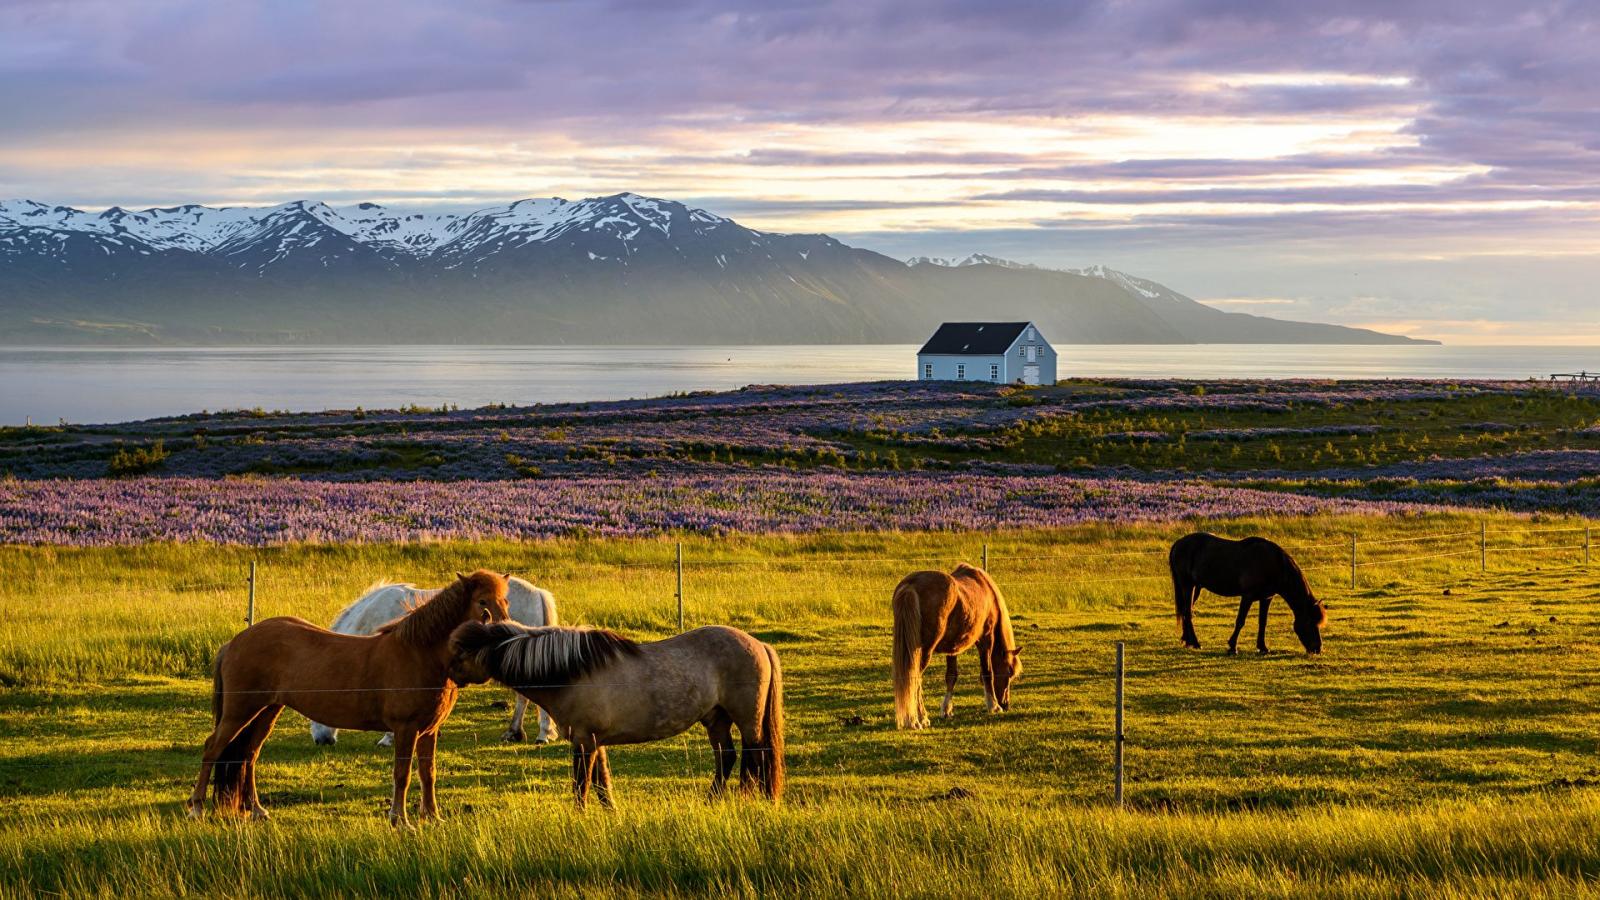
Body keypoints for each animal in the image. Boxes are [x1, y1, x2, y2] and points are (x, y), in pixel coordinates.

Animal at [187, 570, 510, 826]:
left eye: (505, 601)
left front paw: (432, 817)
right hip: (239, 712)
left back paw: (256, 810)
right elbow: (402, 774)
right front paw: (400, 820)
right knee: (213, 748)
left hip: (267, 711)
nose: (505, 633)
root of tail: (235, 642)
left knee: (249, 756)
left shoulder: (429, 730)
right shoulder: (405, 729)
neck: (419, 654)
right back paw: (197, 808)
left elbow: (427, 773)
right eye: (483, 602)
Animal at [448, 622, 785, 807]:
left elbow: (581, 785)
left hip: (747, 720)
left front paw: (580, 817)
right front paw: (612, 814)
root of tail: (758, 644)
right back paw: (712, 801)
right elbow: (601, 784)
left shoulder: (584, 742)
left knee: (757, 757)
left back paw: (758, 801)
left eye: (459, 654)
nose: (447, 676)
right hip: (716, 718)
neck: (571, 672)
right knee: (727, 757)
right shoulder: (594, 742)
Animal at [891, 563, 1021, 730]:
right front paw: (993, 706)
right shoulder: (986, 639)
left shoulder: (952, 649)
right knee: (915, 679)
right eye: (1009, 672)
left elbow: (951, 676)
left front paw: (946, 710)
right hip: (923, 652)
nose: (1005, 704)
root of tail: (910, 585)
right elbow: (987, 672)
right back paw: (918, 720)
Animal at [1169, 532, 1325, 655]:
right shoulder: (1247, 596)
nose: (1317, 649)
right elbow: (1240, 621)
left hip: (1196, 588)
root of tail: (1178, 543)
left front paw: (1263, 647)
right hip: (1187, 585)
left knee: (1186, 610)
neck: (1273, 564)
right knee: (1188, 612)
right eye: (1310, 622)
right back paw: (1195, 643)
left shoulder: (1266, 598)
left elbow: (1263, 622)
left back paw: (1187, 641)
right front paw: (1232, 647)